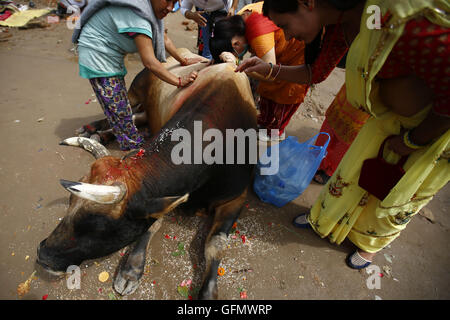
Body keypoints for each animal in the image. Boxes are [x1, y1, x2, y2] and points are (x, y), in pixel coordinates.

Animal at [36, 48, 256, 298]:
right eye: (70, 202)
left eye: (99, 225)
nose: (43, 256)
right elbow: (152, 224)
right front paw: (131, 269)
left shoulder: (235, 199)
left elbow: (215, 246)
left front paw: (208, 292)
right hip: (133, 93)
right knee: (128, 113)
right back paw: (95, 129)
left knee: (134, 117)